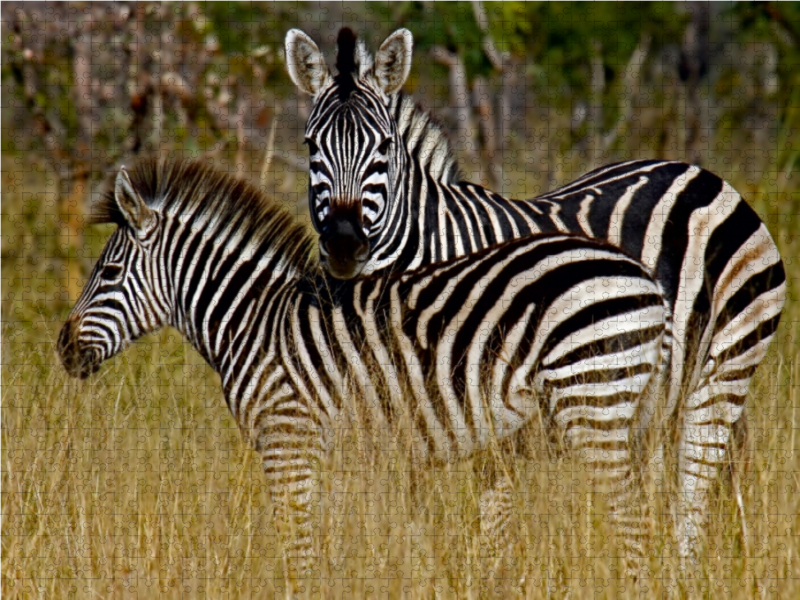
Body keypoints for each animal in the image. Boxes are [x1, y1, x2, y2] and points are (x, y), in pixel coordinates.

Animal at [57, 158, 668, 580]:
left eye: (108, 273)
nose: (62, 348)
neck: (254, 321)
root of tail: (643, 276)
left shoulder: (287, 437)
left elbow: (297, 544)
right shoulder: (328, 450)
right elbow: (328, 538)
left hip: (592, 400)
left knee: (633, 518)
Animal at [284, 27, 784, 564]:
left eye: (383, 147)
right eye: (310, 146)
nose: (343, 242)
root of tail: (702, 174)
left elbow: (492, 515)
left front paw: (489, 573)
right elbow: (402, 508)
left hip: (723, 369)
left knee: (693, 490)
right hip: (654, 395)